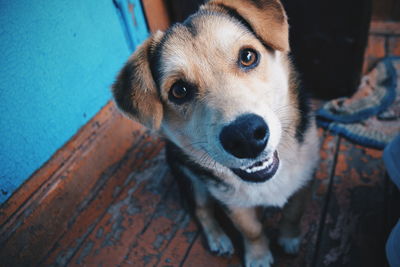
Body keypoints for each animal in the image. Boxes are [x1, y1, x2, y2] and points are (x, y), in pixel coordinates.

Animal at [111, 1, 318, 266]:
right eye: (179, 90)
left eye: (248, 56)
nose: (245, 136)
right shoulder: (231, 201)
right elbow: (251, 230)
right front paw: (259, 255)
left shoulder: (305, 178)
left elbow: (294, 212)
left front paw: (289, 237)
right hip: (192, 178)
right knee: (202, 211)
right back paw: (218, 238)